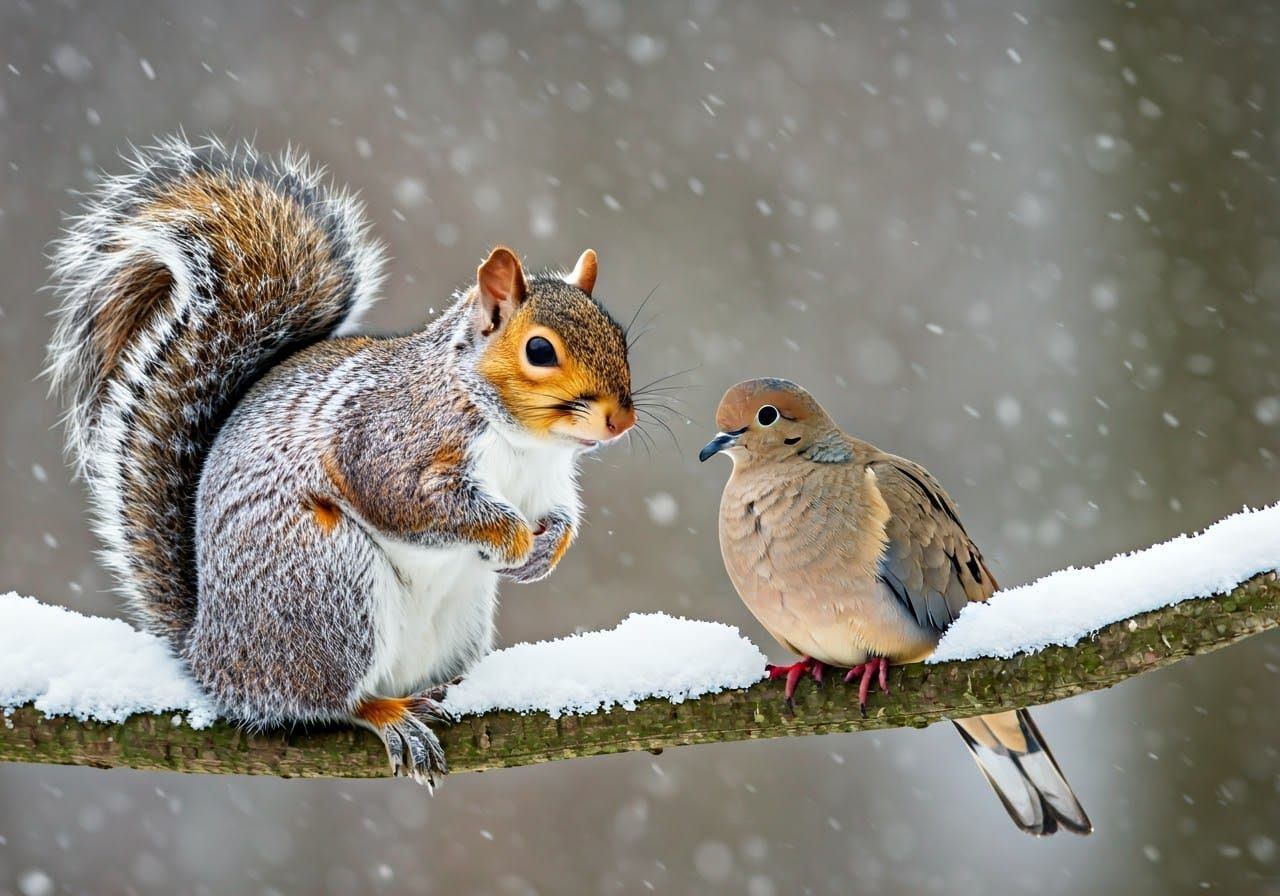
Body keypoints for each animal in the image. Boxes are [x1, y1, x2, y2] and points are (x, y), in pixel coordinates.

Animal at [46, 135, 637, 786]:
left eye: (619, 337)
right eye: (539, 350)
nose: (621, 420)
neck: (523, 442)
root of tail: (210, 657)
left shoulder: (545, 481)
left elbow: (559, 513)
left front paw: (548, 546)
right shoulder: (389, 444)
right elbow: (410, 500)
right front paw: (509, 536)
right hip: (327, 586)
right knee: (327, 701)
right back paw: (387, 714)